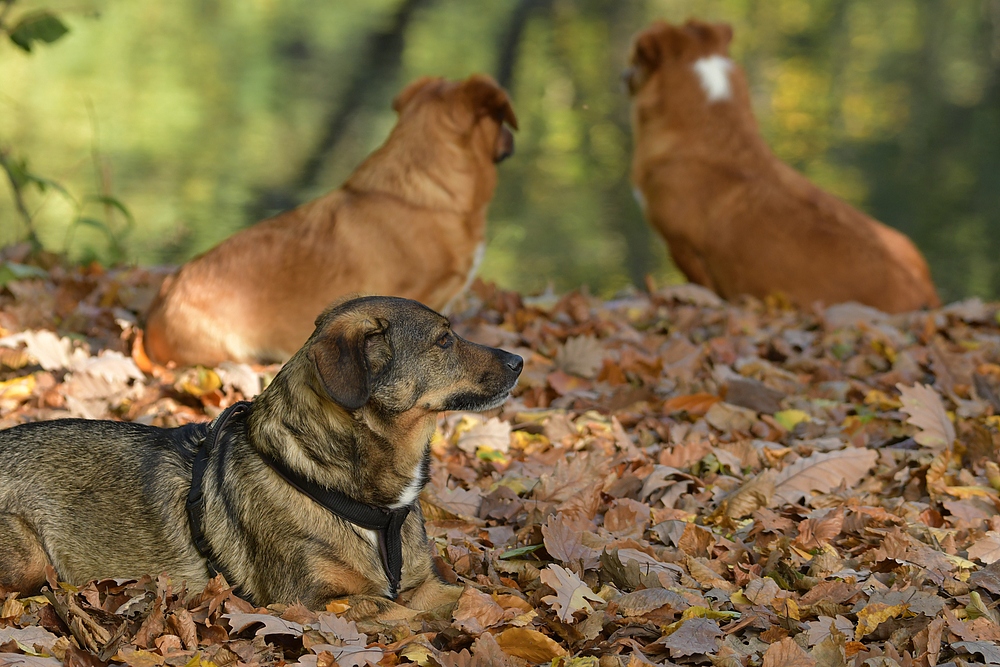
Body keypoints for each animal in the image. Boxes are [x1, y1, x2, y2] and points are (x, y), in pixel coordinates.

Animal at [0, 294, 528, 620]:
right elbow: (403, 614)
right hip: (29, 562)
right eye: (444, 340)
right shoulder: (317, 603)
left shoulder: (423, 585)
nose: (519, 361)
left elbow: (471, 594)